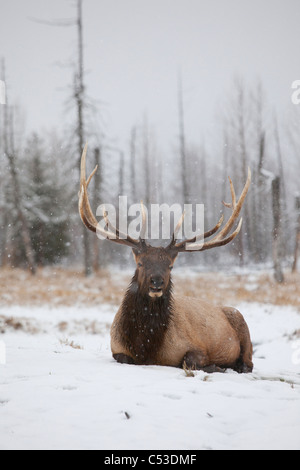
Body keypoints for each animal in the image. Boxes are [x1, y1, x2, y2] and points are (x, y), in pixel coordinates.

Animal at [79, 145, 253, 372]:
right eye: (140, 263)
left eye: (170, 266)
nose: (156, 282)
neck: (146, 347)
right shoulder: (116, 347)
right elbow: (123, 358)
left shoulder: (197, 347)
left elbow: (190, 360)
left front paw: (216, 365)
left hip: (241, 322)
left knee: (248, 362)